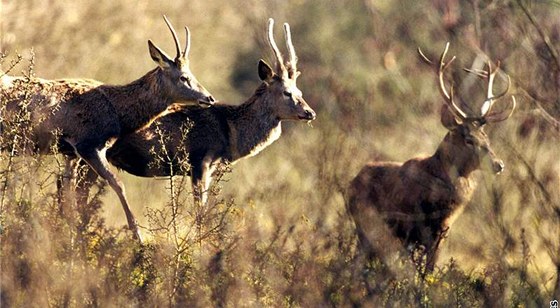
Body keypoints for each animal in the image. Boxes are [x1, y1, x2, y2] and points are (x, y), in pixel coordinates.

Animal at [0, 15, 215, 241]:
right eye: (183, 77)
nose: (209, 98)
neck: (118, 114)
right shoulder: (88, 144)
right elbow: (117, 184)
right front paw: (138, 235)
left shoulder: (71, 152)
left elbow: (69, 192)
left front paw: (69, 233)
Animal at [74, 18, 318, 207]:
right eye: (287, 92)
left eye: (300, 91)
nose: (310, 112)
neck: (229, 132)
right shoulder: (199, 159)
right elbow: (200, 212)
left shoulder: (208, 167)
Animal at [346, 42, 516, 274]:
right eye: (468, 139)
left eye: (486, 137)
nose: (499, 164)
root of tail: (350, 185)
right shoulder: (413, 228)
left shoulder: (442, 232)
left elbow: (430, 272)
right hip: (366, 224)